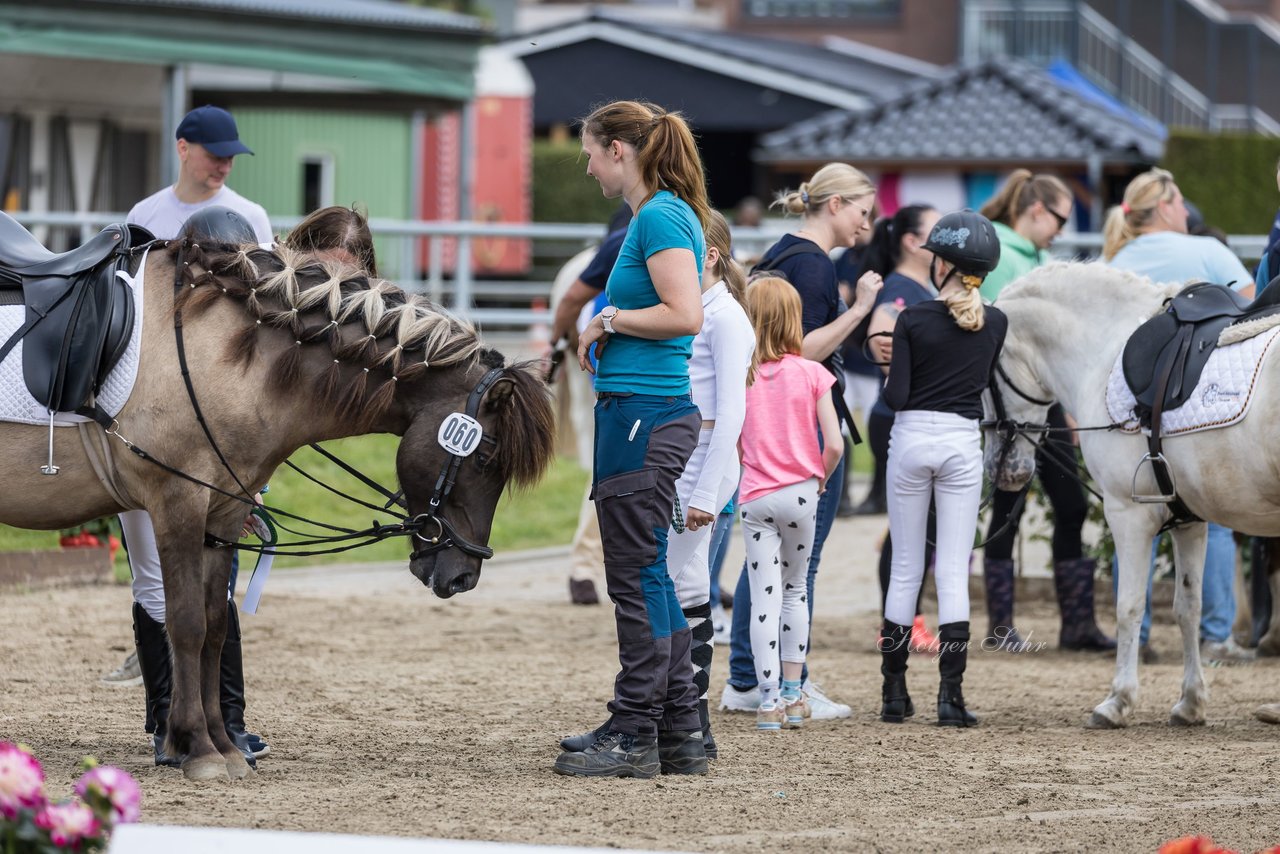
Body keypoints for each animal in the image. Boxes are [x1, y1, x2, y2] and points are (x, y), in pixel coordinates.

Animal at [983, 262, 1274, 727]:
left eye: (984, 374)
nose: (1001, 469)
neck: (1105, 347)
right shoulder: (1189, 520)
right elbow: (1187, 607)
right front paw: (1190, 702)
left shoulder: (1128, 515)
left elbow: (1129, 607)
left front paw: (1117, 700)